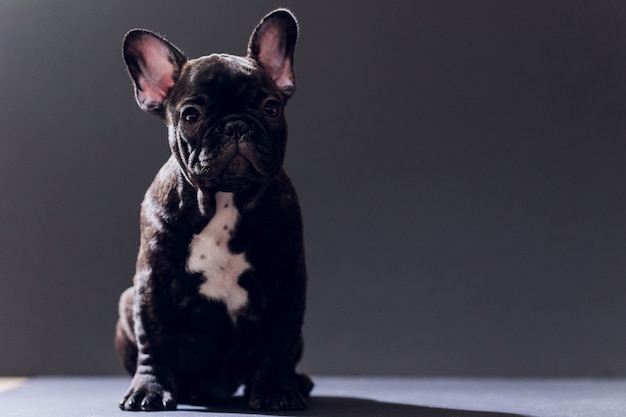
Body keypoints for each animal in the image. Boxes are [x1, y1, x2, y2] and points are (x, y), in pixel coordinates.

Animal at [113, 8, 310, 410]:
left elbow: (280, 340)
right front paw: (150, 389)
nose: (235, 125)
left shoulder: (288, 280)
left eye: (271, 108)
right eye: (191, 115)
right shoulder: (153, 282)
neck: (224, 198)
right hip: (126, 303)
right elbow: (154, 339)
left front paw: (277, 389)